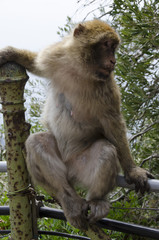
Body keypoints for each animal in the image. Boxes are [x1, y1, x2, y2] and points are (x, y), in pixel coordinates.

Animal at [0, 19, 154, 230]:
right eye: (106, 45)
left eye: (114, 48)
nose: (113, 61)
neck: (80, 69)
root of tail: (71, 170)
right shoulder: (55, 57)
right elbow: (36, 63)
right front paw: (9, 53)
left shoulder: (107, 86)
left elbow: (113, 124)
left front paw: (133, 171)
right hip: (62, 169)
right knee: (37, 142)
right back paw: (69, 200)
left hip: (82, 166)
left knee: (106, 149)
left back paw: (96, 201)